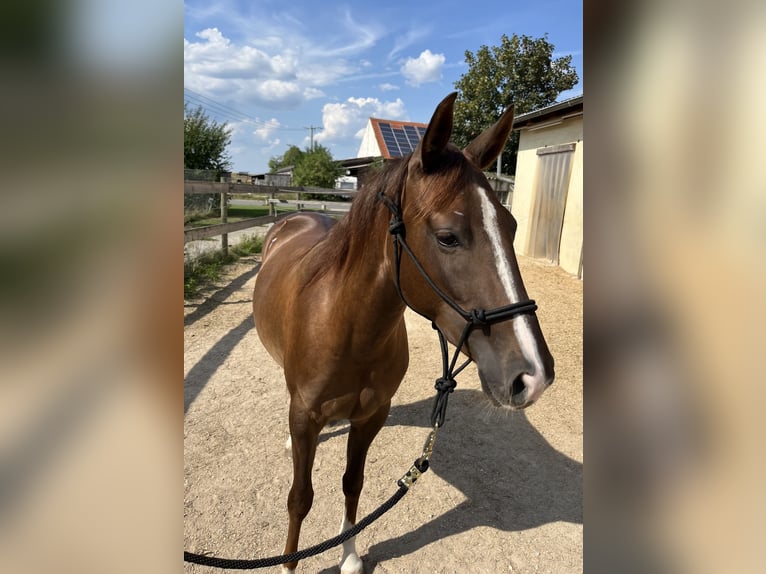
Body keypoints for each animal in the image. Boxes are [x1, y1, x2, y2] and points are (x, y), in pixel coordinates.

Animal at [255, 92, 556, 572]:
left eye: (510, 227)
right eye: (448, 237)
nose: (534, 375)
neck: (349, 331)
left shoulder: (371, 416)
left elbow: (352, 483)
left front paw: (350, 556)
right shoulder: (305, 417)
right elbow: (300, 498)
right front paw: (288, 564)